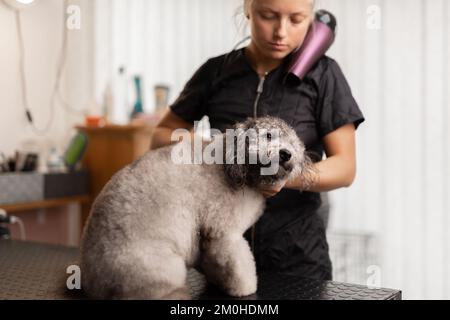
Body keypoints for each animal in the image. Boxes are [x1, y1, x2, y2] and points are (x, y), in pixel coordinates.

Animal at [80, 117, 312, 300]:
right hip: (163, 268)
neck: (233, 166)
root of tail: (93, 281)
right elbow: (239, 264)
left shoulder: (208, 238)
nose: (286, 154)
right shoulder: (224, 234)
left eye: (293, 143)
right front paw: (244, 288)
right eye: (268, 135)